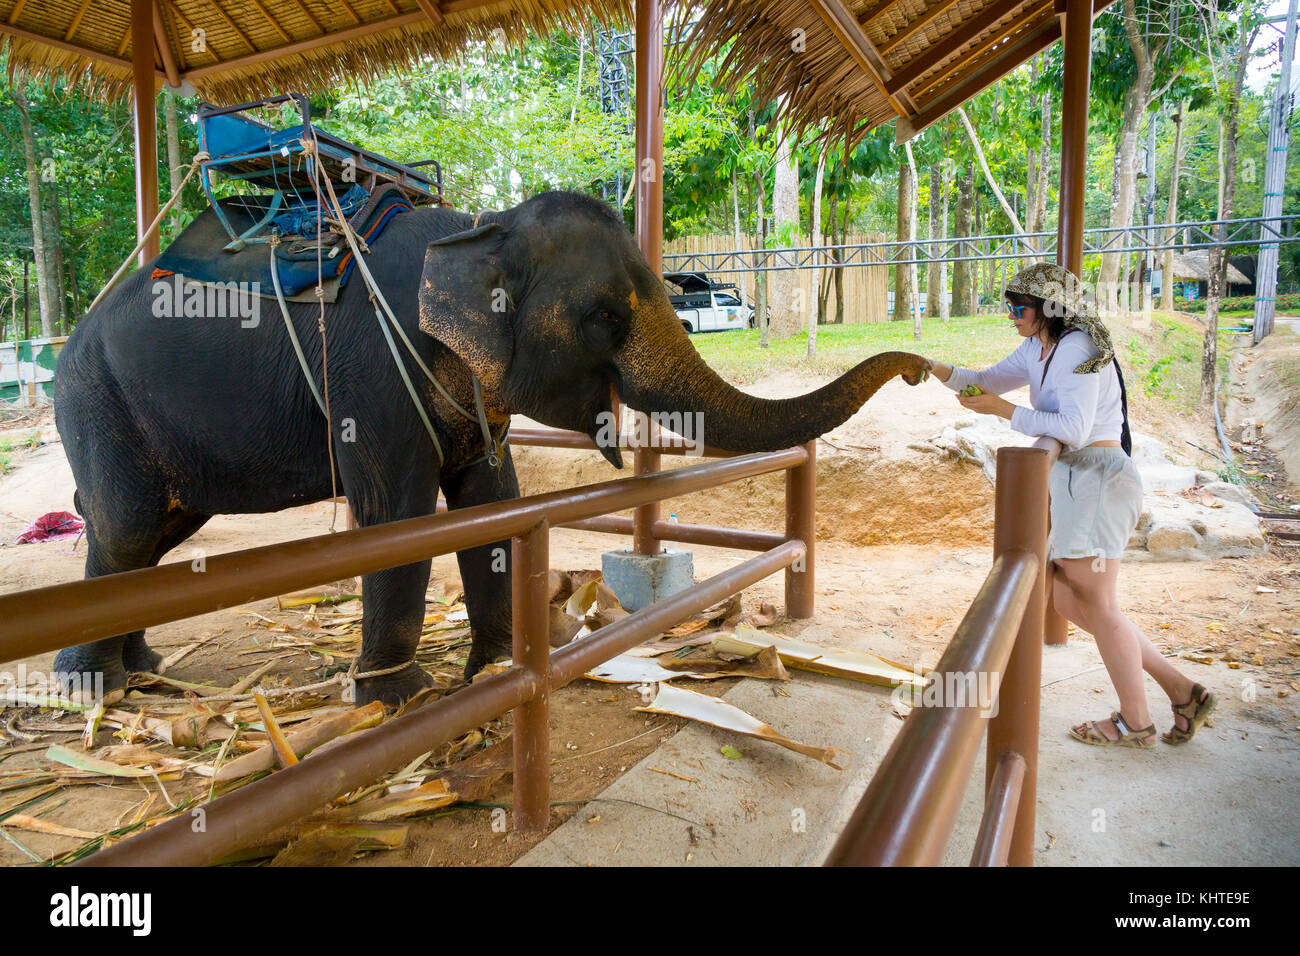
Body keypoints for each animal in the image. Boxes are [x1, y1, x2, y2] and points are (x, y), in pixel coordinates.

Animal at [52, 189, 928, 707]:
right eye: (607, 317)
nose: (922, 369)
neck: (478, 230)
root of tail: (73, 336)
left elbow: (492, 502)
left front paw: (503, 670)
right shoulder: (370, 372)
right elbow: (399, 517)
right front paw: (398, 700)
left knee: (147, 535)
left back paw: (140, 670)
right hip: (95, 400)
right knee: (126, 527)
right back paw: (93, 689)